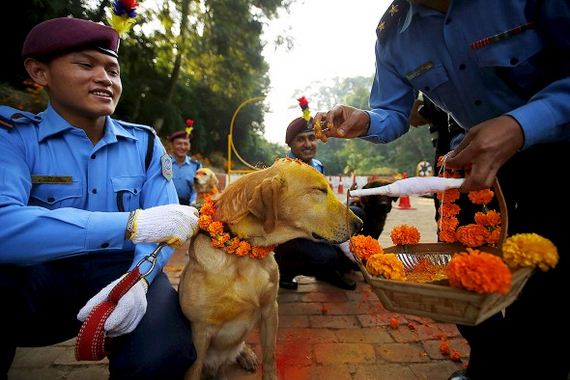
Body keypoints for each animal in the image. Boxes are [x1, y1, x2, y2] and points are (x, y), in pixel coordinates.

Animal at [180, 159, 362, 378]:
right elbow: (193, 371)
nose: (360, 225)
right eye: (319, 190)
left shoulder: (269, 310)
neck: (245, 254)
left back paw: (247, 355)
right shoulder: (199, 331)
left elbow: (269, 357)